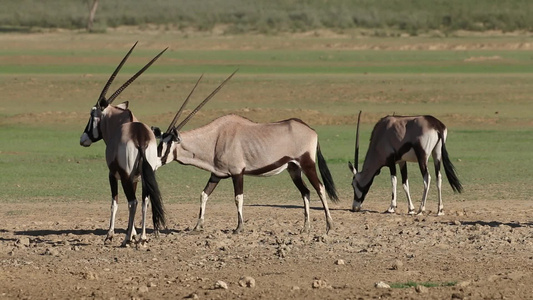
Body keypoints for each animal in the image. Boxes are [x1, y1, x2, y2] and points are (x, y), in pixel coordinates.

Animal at [79, 42, 165, 246]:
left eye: (92, 114)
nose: (83, 139)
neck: (120, 122)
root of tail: (140, 137)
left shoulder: (113, 174)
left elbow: (115, 202)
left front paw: (111, 234)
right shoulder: (136, 178)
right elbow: (134, 202)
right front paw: (133, 233)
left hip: (125, 176)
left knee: (133, 202)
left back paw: (125, 239)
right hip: (146, 174)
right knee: (144, 201)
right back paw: (142, 238)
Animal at [156, 74, 338, 233]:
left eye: (166, 145)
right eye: (159, 143)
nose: (155, 162)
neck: (216, 138)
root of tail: (311, 130)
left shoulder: (238, 173)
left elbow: (238, 198)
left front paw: (239, 228)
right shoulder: (216, 174)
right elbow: (203, 194)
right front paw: (197, 226)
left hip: (307, 164)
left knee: (320, 188)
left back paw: (329, 225)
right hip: (293, 169)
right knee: (305, 192)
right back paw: (306, 227)